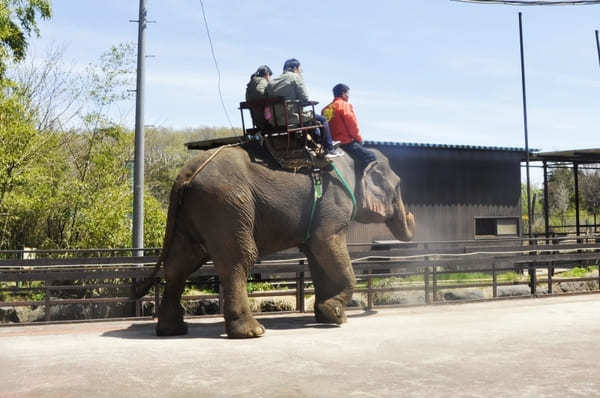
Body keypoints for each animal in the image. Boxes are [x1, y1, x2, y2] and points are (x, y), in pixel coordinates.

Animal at [138, 146, 414, 338]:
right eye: (400, 186)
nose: (411, 216)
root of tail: (185, 176)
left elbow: (316, 254)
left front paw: (328, 316)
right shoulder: (333, 203)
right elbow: (326, 243)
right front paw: (335, 313)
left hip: (194, 211)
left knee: (181, 263)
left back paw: (172, 330)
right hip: (227, 204)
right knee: (239, 258)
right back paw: (252, 332)